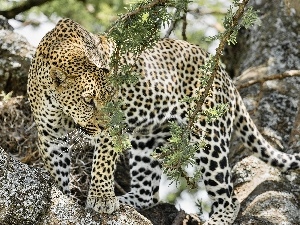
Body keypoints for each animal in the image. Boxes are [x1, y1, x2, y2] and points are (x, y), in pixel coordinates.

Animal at [27, 18, 298, 224]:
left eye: (112, 98)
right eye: (88, 100)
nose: (106, 123)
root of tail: (222, 72)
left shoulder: (111, 132)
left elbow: (103, 162)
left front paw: (101, 198)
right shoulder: (48, 133)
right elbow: (57, 168)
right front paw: (64, 196)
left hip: (207, 136)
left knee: (229, 200)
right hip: (148, 140)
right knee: (147, 193)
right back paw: (124, 202)